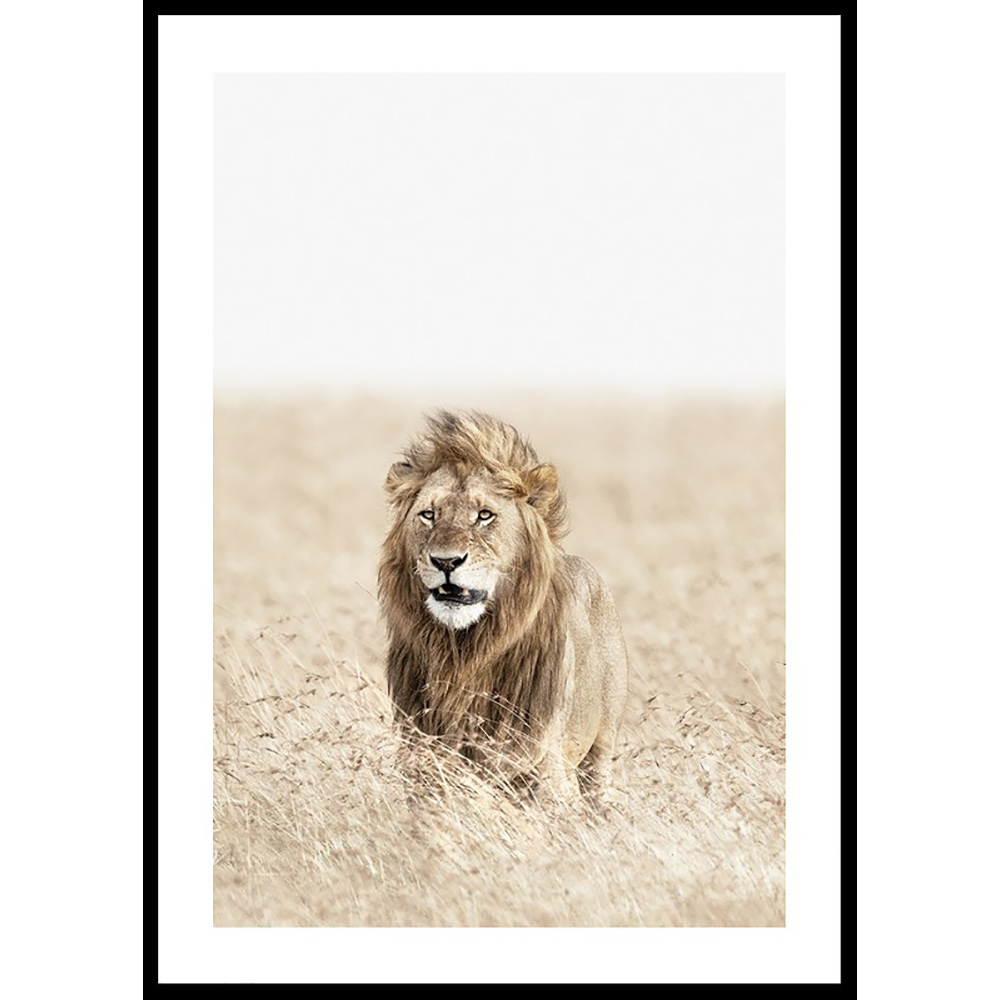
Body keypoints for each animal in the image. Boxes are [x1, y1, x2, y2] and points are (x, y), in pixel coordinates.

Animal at [377, 410, 628, 808]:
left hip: (602, 747)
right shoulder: (422, 760)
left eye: (484, 515)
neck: (463, 653)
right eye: (429, 514)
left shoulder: (544, 766)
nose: (446, 561)